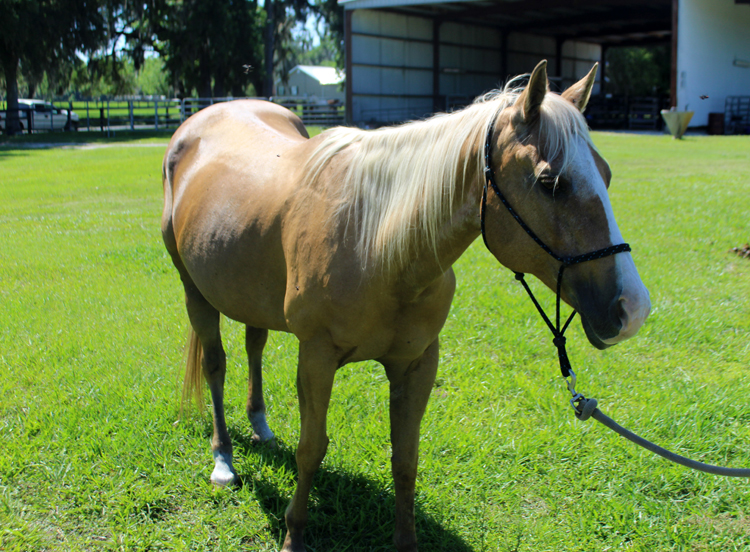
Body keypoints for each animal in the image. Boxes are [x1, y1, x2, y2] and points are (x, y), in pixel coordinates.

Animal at [162, 58, 648, 548]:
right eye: (550, 182)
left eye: (606, 173)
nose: (633, 310)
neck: (374, 240)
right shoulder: (316, 357)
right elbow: (311, 449)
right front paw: (293, 535)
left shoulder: (417, 363)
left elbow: (405, 457)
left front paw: (405, 539)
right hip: (193, 292)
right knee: (215, 366)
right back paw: (224, 460)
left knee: (254, 347)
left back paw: (260, 425)